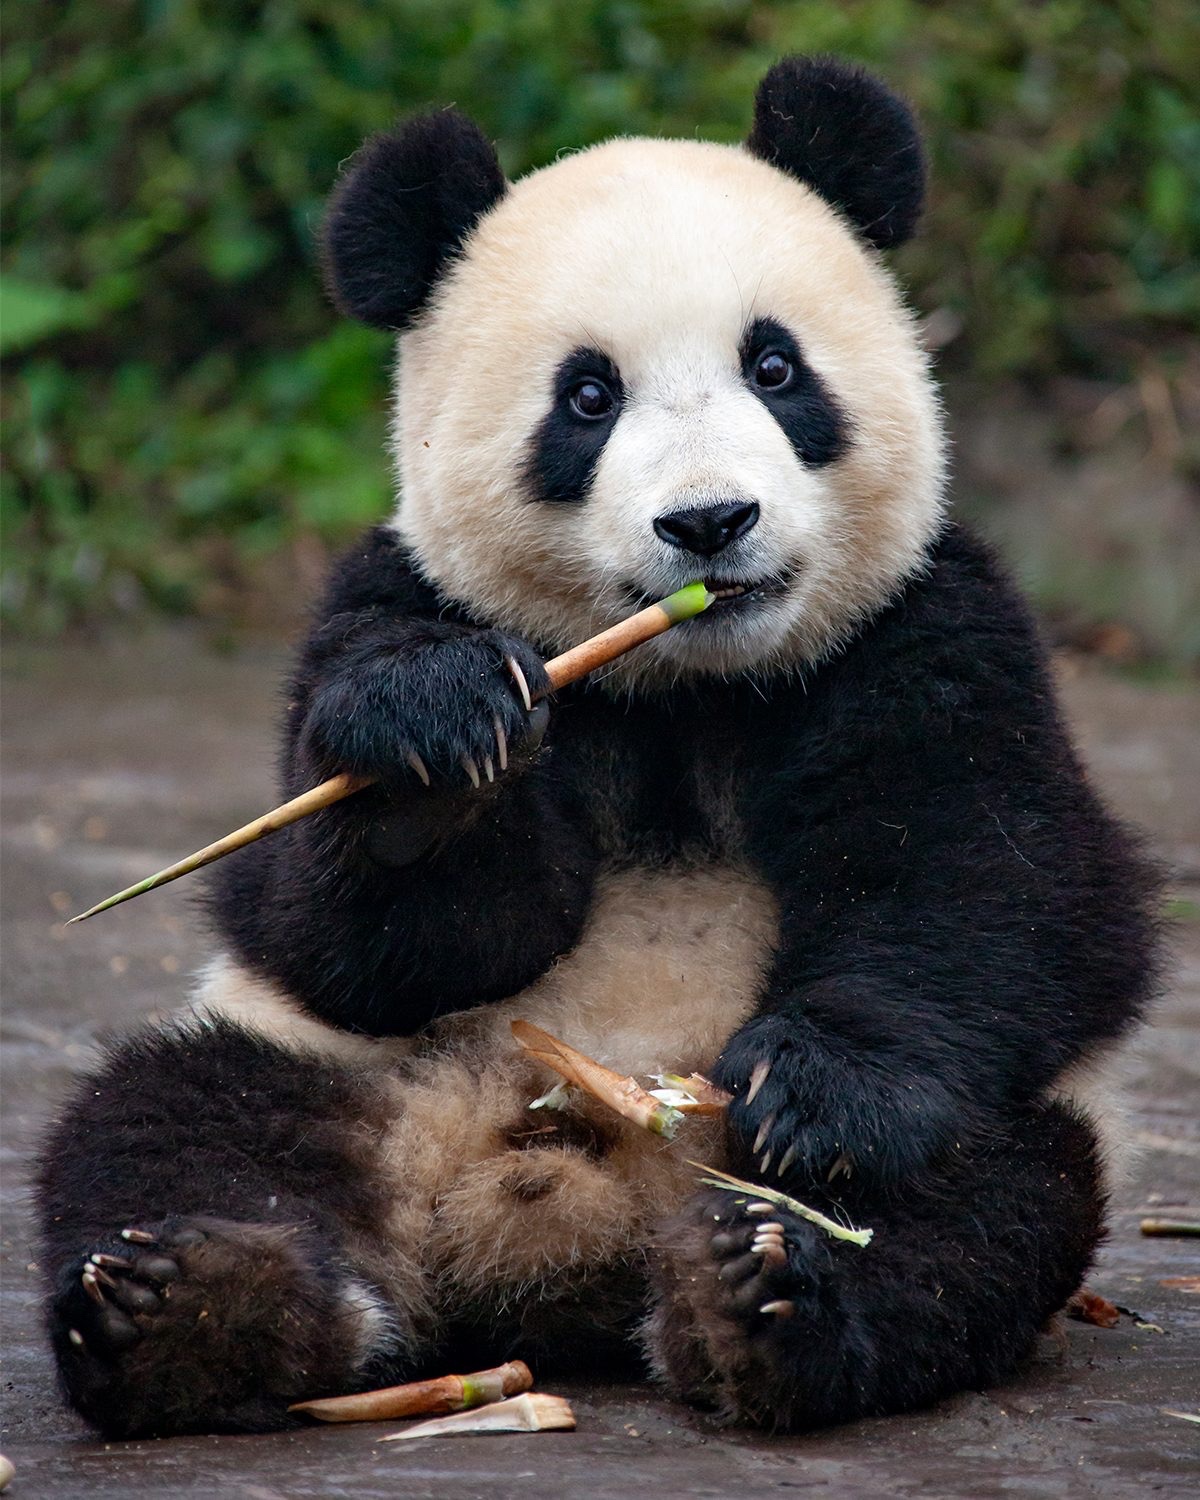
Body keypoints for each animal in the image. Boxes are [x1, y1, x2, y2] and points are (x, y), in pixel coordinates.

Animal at [37, 56, 1159, 1438]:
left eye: (776, 367)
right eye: (588, 397)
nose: (710, 522)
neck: (680, 685)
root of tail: (563, 1238)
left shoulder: (932, 626)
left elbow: (992, 876)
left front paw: (818, 1093)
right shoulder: (382, 604)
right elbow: (350, 938)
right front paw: (429, 752)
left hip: (983, 1133)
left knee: (980, 1203)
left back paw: (766, 1298)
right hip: (332, 1072)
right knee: (166, 1122)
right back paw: (192, 1308)